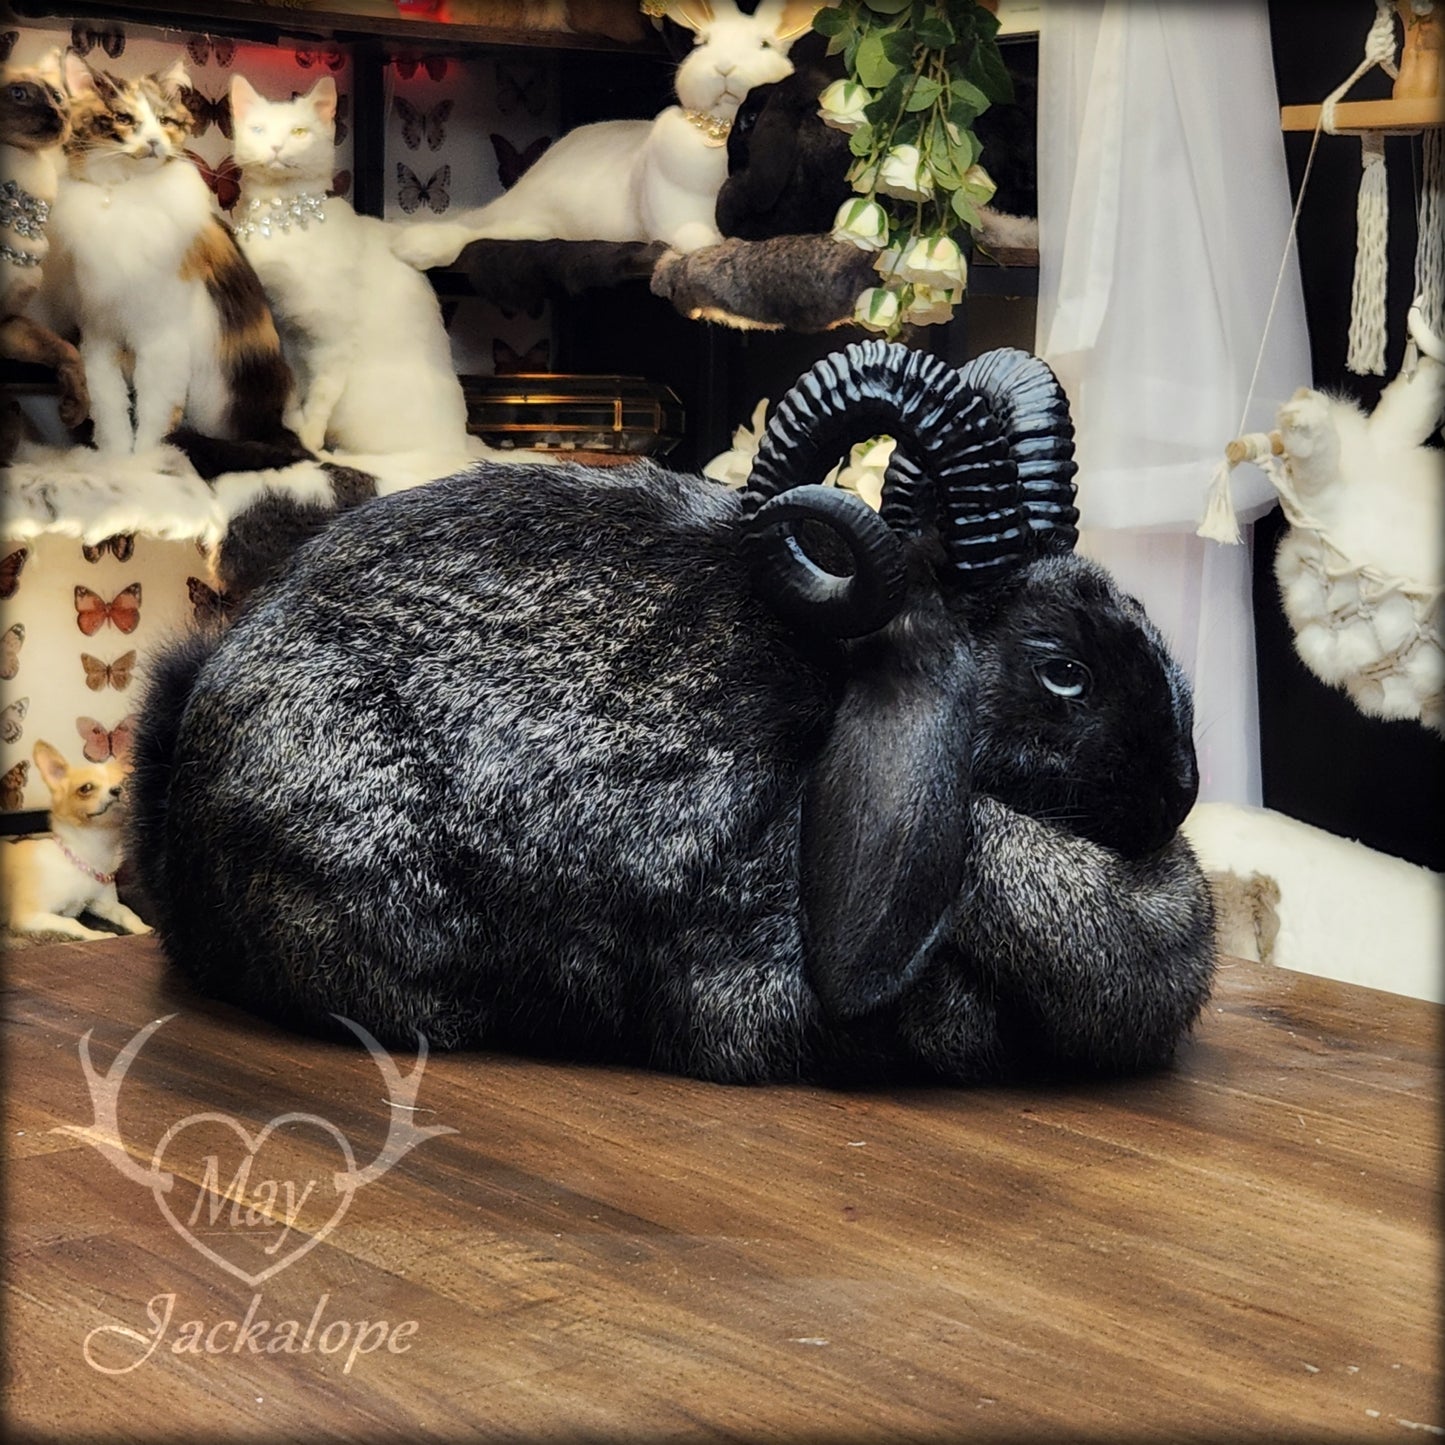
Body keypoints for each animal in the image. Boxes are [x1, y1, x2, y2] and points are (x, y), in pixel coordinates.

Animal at [228, 74, 471, 456]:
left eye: (299, 131)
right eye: (258, 129)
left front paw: (310, 439)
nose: (277, 147)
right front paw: (294, 423)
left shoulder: (333, 337)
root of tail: (461, 444)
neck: (281, 217)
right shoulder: (284, 329)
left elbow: (322, 394)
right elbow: (294, 388)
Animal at [393, 0, 826, 271]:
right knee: (471, 228)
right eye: (702, 43)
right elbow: (691, 234)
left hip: (536, 226)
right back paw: (413, 248)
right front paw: (706, 245)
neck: (719, 130)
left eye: (765, 44)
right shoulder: (670, 206)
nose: (724, 67)